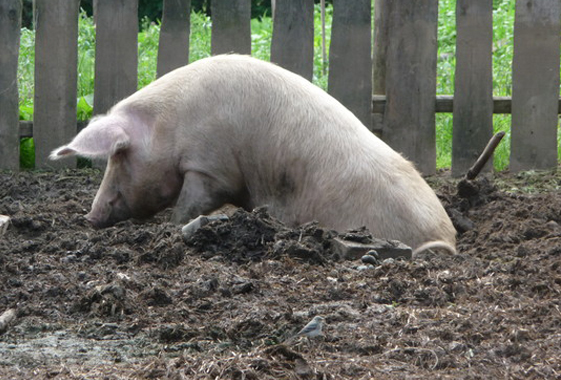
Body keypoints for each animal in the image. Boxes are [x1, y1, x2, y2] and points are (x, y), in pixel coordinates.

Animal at [50, 53, 458, 254]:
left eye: (119, 156)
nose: (90, 217)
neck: (169, 122)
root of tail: (446, 234)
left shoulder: (209, 167)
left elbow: (189, 204)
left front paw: (170, 229)